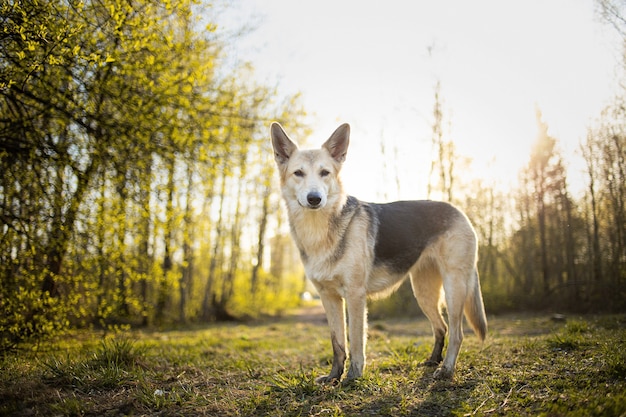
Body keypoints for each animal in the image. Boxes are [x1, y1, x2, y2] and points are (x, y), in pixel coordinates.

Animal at [270, 122, 486, 382]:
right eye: (298, 173)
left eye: (325, 173)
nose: (314, 198)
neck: (319, 231)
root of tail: (459, 211)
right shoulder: (328, 297)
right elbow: (337, 343)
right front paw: (334, 377)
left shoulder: (355, 296)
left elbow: (355, 343)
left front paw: (352, 377)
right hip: (423, 292)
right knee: (440, 327)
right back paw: (433, 360)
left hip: (454, 288)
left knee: (457, 333)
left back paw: (446, 370)